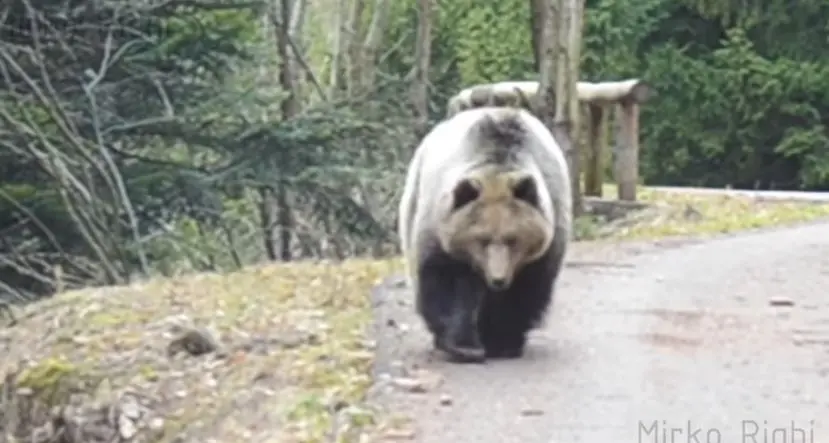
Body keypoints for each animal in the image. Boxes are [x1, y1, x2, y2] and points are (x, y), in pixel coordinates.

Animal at [398, 106, 572, 363]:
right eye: (481, 239)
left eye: (513, 239)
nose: (498, 279)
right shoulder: (443, 231)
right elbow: (451, 284)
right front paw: (463, 346)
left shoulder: (544, 242)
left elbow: (526, 290)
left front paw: (504, 342)